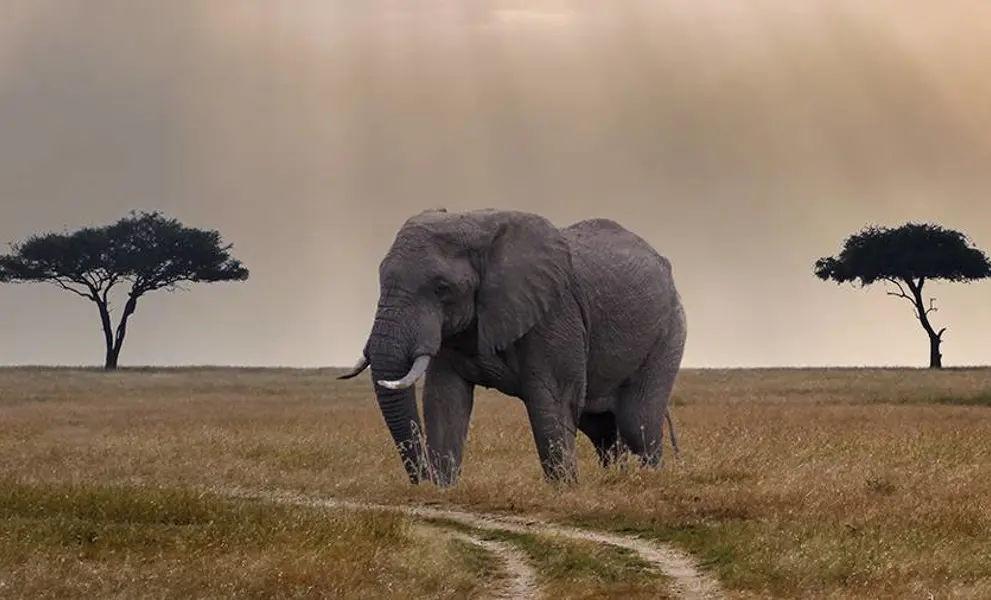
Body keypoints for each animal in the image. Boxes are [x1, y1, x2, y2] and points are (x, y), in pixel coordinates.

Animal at [339, 208, 687, 486]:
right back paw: (615, 480)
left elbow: (552, 400)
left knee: (637, 423)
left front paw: (565, 491)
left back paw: (649, 482)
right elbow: (444, 399)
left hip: (668, 334)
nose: (423, 481)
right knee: (602, 429)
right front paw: (444, 489)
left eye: (442, 289)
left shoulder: (554, 313)